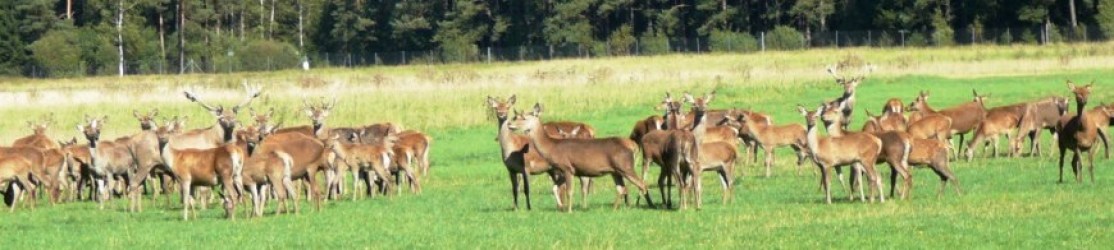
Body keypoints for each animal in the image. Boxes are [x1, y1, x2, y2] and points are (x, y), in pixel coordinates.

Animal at [510, 102, 655, 212]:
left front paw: (569, 210)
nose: (510, 125)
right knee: (621, 188)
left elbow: (569, 191)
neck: (552, 148)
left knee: (642, 184)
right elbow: (555, 188)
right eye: (516, 116)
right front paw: (561, 207)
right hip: (615, 171)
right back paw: (615, 209)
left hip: (625, 166)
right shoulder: (563, 170)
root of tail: (633, 146)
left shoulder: (567, 167)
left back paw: (648, 206)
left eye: (524, 118)